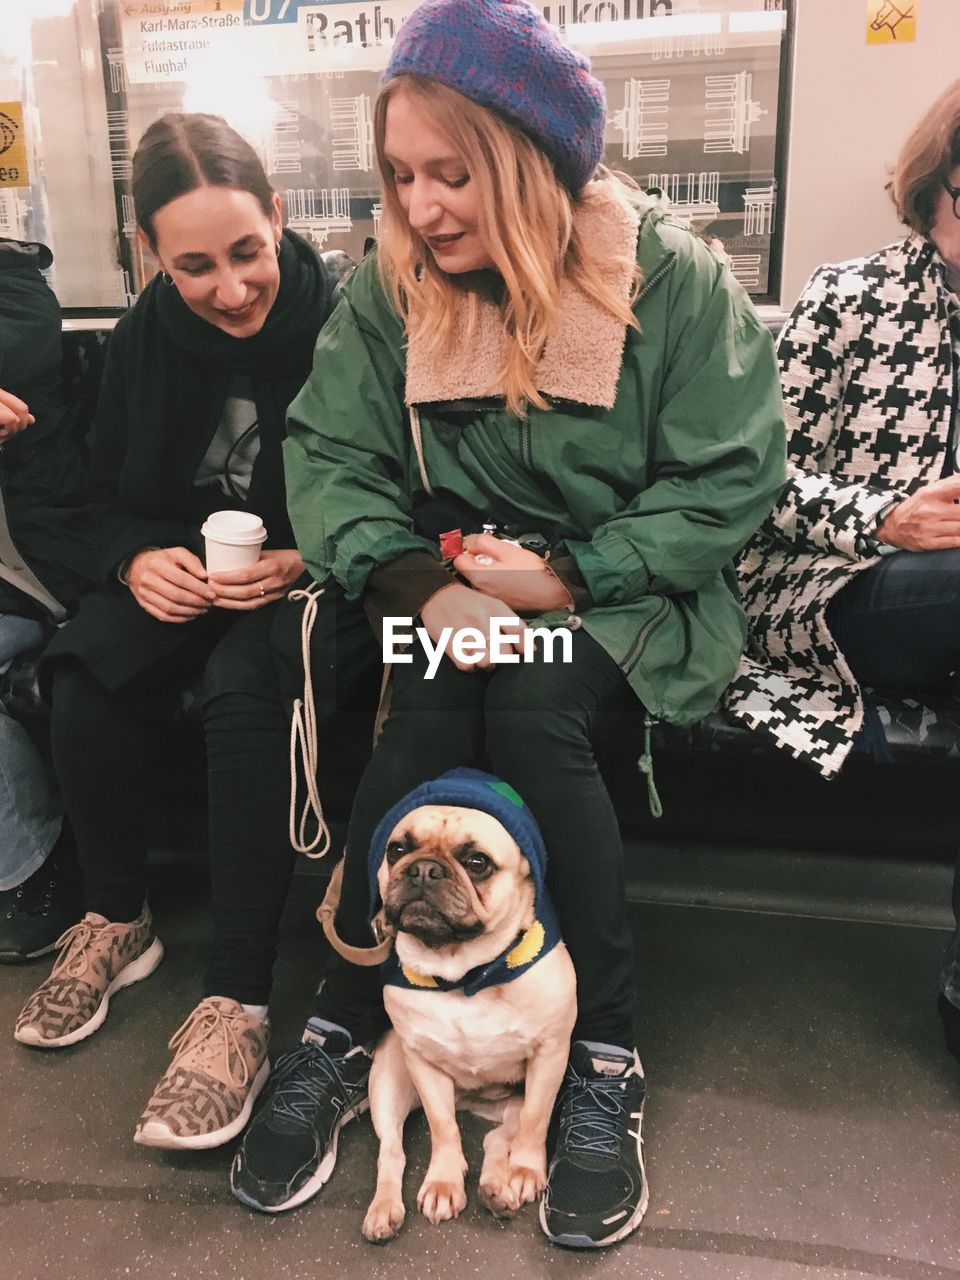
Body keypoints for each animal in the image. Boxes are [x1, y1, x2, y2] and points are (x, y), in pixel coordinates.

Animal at [358, 768, 576, 1239]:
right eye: (397, 849)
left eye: (478, 863)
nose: (423, 868)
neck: (463, 973)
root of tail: (474, 1103)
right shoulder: (423, 1063)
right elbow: (443, 1129)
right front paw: (442, 1181)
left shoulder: (550, 1056)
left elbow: (536, 1122)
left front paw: (527, 1170)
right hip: (388, 1083)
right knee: (393, 1150)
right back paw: (385, 1208)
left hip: (512, 1104)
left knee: (499, 1141)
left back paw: (499, 1190)